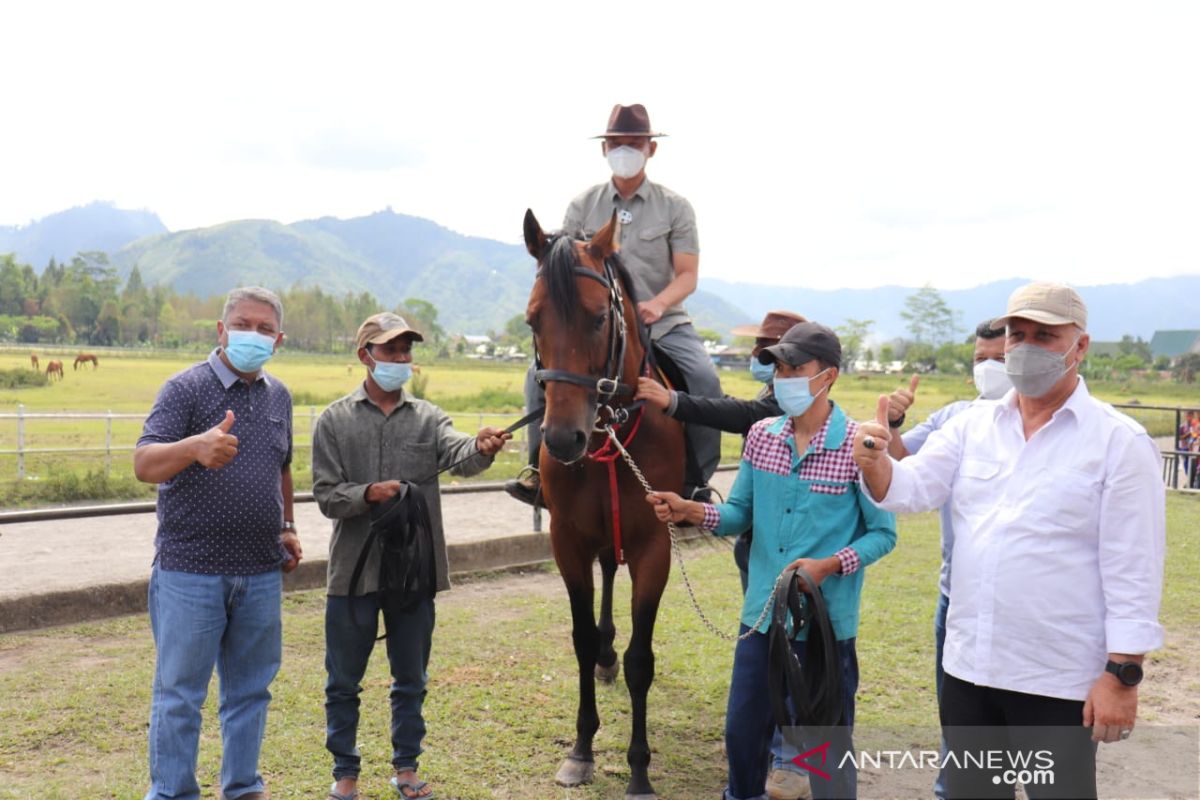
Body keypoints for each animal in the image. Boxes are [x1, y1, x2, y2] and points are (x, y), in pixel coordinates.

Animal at [523, 209, 686, 796]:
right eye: (533, 322)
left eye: (598, 319)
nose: (561, 438)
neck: (610, 433)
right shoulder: (568, 542)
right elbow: (581, 639)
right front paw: (581, 750)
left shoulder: (654, 546)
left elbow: (642, 660)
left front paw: (638, 769)